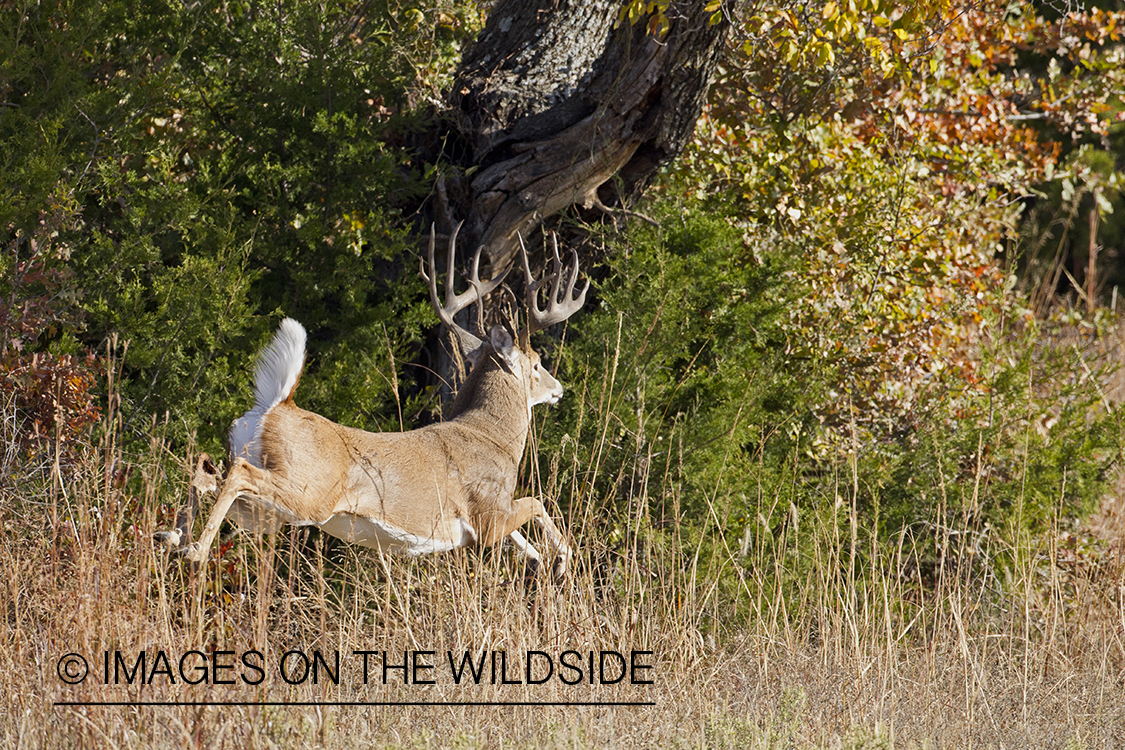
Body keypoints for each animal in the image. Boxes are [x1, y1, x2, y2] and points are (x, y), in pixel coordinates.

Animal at [160, 229, 589, 580]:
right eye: (537, 364)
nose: (558, 388)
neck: (491, 435)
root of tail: (277, 405)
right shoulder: (486, 511)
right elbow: (537, 501)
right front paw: (562, 559)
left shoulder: (489, 517)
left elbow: (523, 533)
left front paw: (539, 559)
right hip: (308, 494)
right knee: (238, 473)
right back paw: (193, 550)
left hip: (266, 509)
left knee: (207, 469)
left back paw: (172, 535)